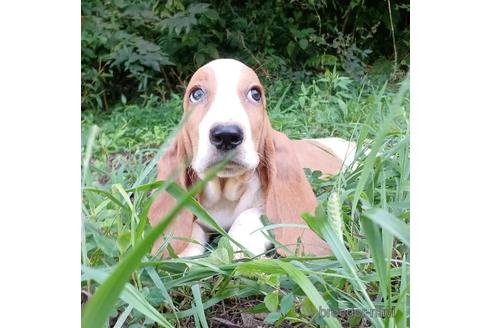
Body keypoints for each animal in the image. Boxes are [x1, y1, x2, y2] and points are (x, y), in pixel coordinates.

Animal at [148, 58, 356, 258]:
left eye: (255, 94)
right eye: (196, 94)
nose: (226, 135)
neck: (225, 192)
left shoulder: (264, 207)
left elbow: (249, 215)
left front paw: (239, 248)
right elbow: (189, 228)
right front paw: (183, 255)